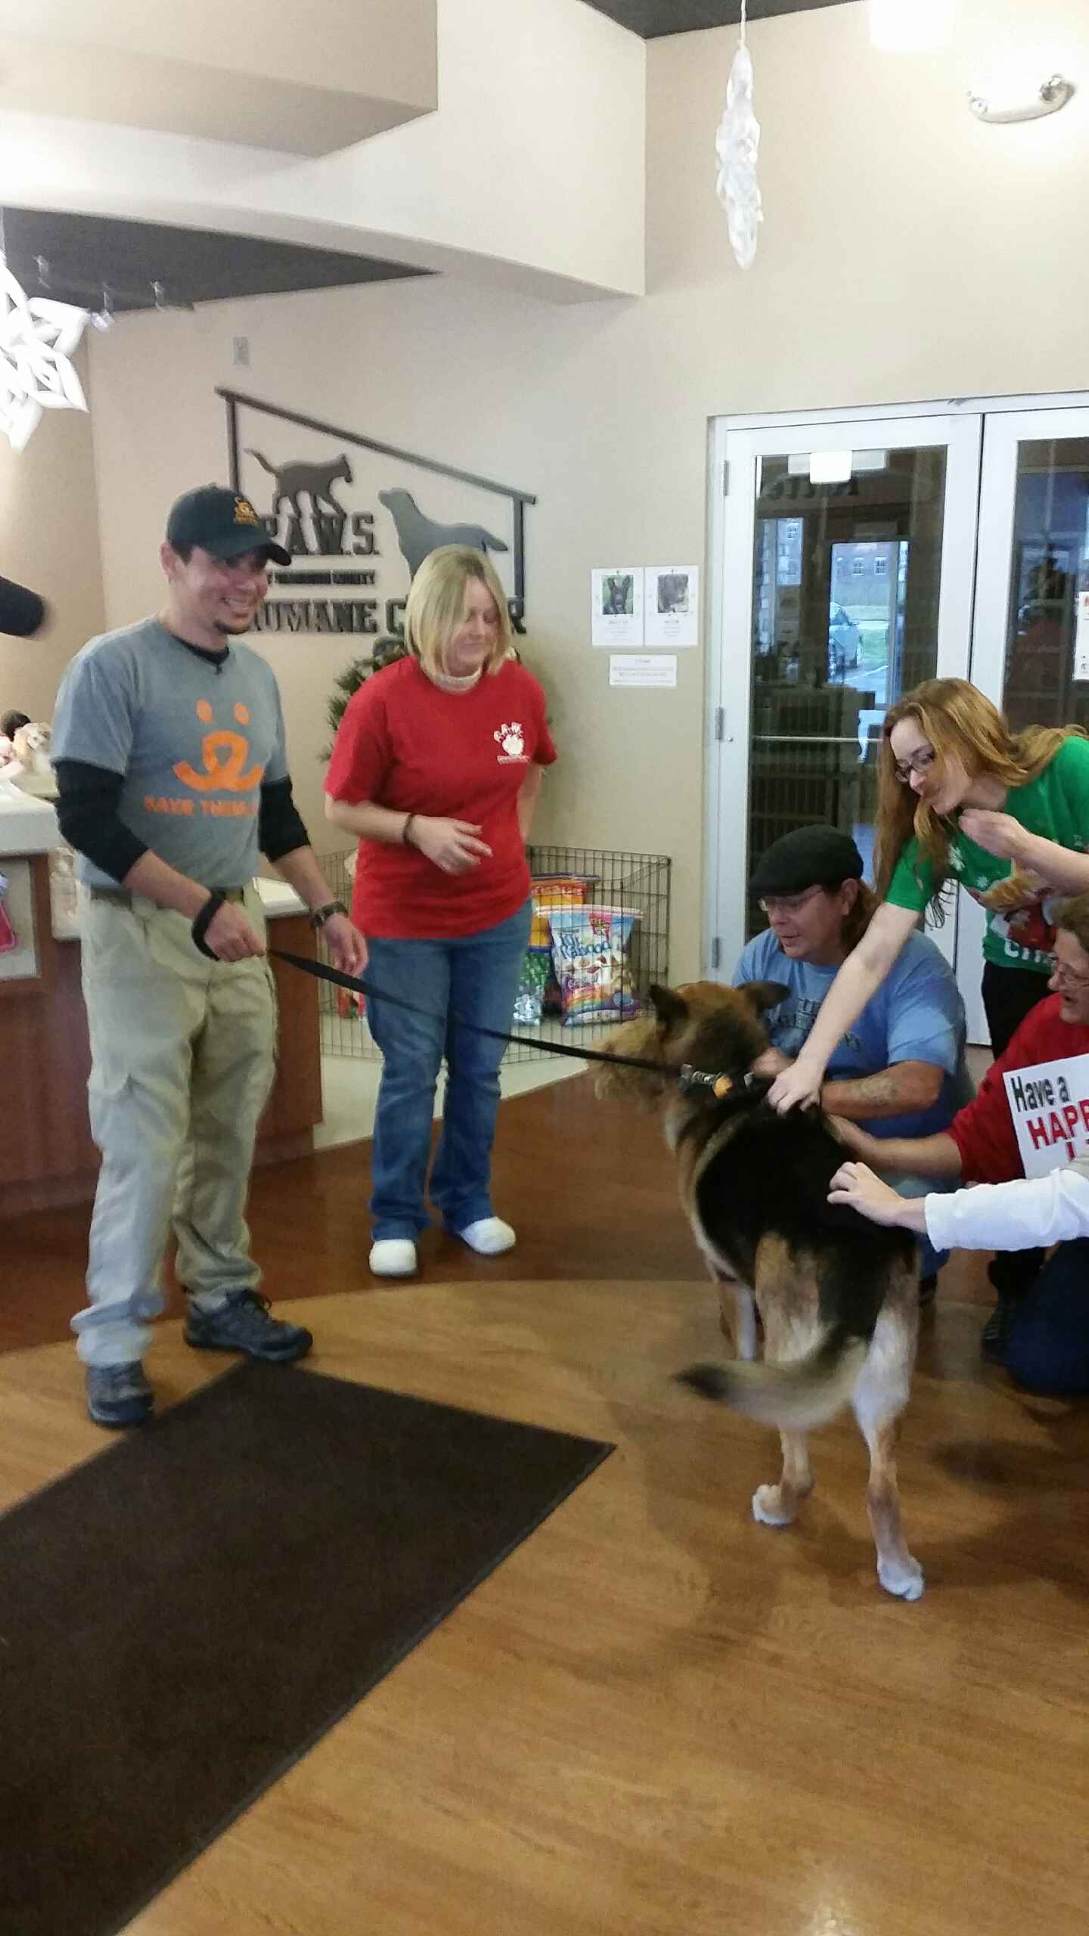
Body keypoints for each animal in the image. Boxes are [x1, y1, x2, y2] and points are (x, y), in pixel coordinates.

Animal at [596, 983, 918, 1603]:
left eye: (653, 1017)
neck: (728, 1078)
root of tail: (858, 1250)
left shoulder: (727, 1281)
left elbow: (739, 1339)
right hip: (886, 1377)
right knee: (882, 1488)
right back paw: (898, 1570)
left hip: (791, 1343)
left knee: (802, 1469)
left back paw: (778, 1503)